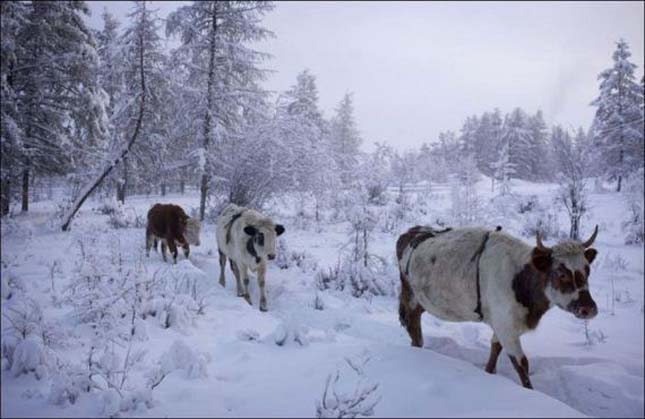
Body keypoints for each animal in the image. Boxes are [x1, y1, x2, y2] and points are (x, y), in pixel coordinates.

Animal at [398, 226, 600, 390]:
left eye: (587, 270)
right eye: (561, 273)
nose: (589, 308)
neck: (520, 279)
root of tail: (413, 232)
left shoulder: (502, 325)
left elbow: (495, 349)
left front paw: (489, 373)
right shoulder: (506, 327)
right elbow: (522, 364)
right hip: (411, 297)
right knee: (413, 325)